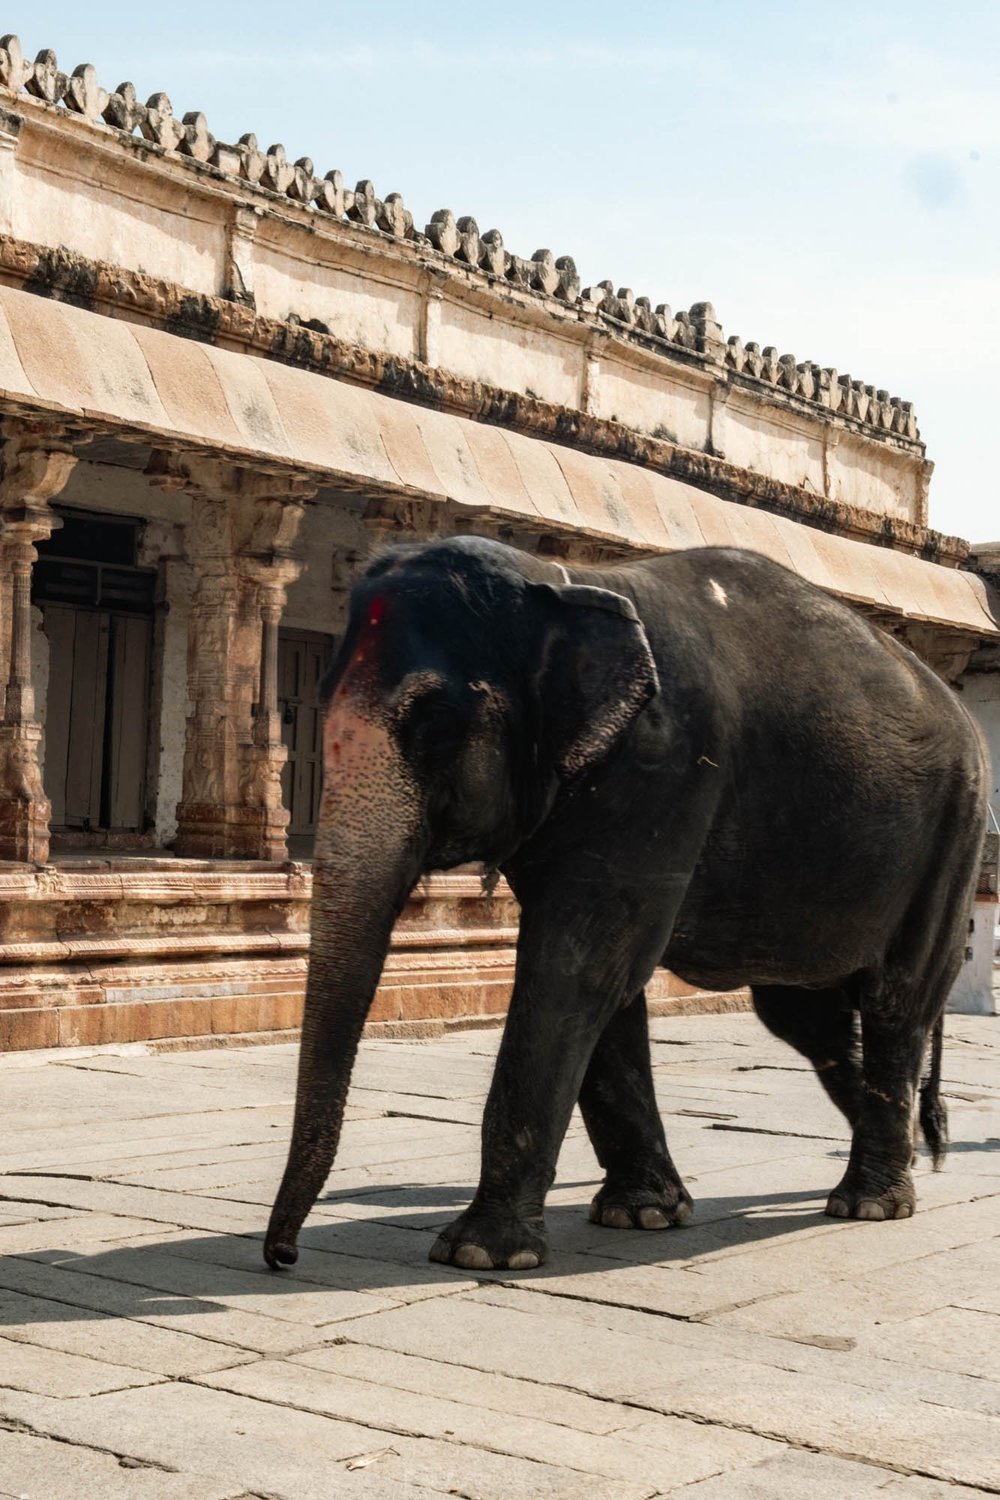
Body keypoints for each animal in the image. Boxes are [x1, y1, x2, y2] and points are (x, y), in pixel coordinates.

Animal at [264, 536, 987, 1272]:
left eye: (434, 724)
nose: (284, 1255)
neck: (561, 581)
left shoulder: (661, 767)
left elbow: (580, 968)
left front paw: (481, 1255)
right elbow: (605, 983)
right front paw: (642, 1215)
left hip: (954, 832)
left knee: (898, 998)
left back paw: (871, 1203)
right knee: (803, 1015)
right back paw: (906, 1154)